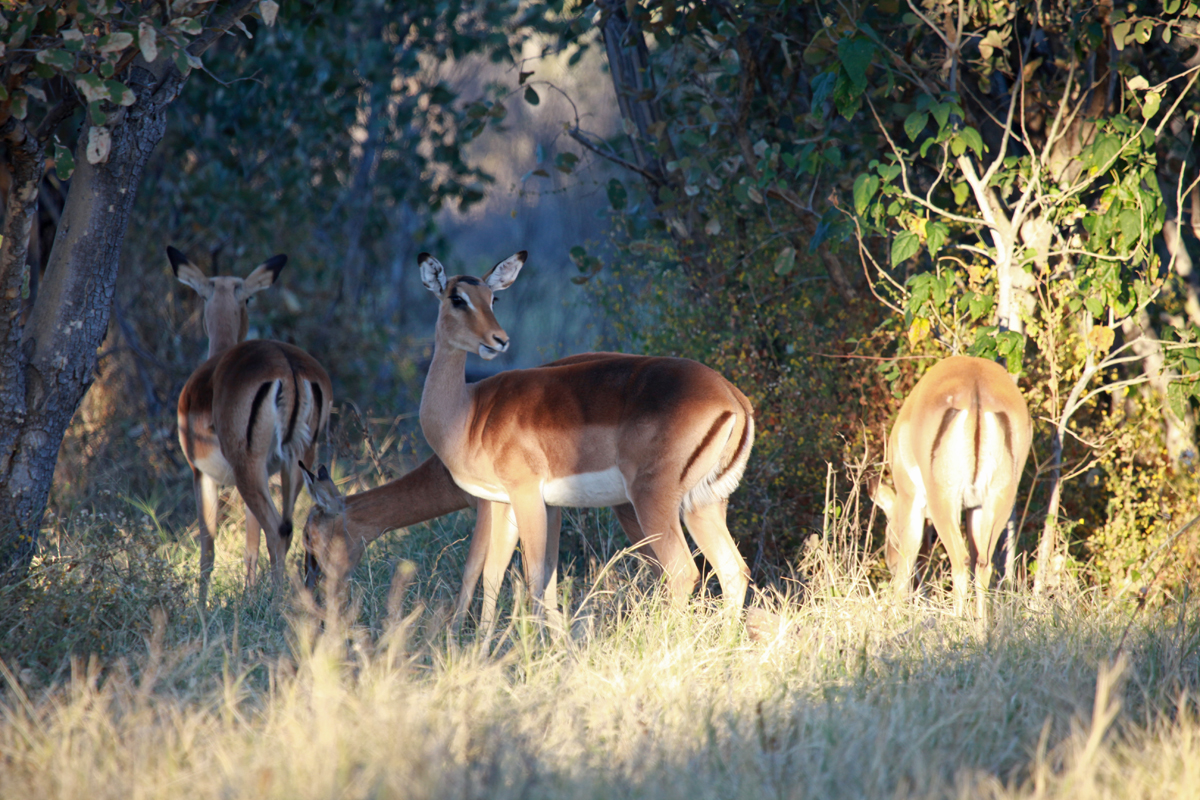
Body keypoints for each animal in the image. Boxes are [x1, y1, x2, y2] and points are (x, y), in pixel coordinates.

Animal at [171, 247, 331, 604]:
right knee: (291, 527)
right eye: (249, 298)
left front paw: (201, 606)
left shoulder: (201, 474)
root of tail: (288, 368)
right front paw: (248, 594)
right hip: (297, 462)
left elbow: (208, 548)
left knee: (278, 529)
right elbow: (250, 544)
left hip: (249, 467)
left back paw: (277, 604)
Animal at [412, 250, 748, 618]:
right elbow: (494, 575)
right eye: (457, 298)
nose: (499, 340)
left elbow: (535, 578)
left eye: (492, 298)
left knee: (684, 572)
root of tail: (732, 397)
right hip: (704, 504)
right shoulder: (504, 502)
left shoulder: (527, 495)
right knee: (733, 570)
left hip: (653, 500)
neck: (468, 414)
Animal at [873, 357, 1032, 618]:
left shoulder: (911, 499)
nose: (889, 562)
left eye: (889, 533)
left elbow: (908, 560)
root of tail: (976, 390)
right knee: (982, 564)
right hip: (998, 501)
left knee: (960, 560)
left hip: (944, 500)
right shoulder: (973, 507)